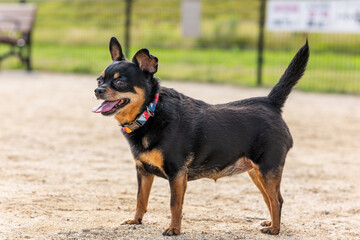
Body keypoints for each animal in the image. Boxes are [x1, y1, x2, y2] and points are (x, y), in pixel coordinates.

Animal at [93, 38, 310, 236]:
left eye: (120, 82)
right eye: (99, 80)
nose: (97, 90)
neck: (150, 112)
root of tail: (270, 102)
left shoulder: (177, 173)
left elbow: (175, 205)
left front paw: (174, 229)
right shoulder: (143, 172)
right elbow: (140, 199)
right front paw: (136, 220)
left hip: (267, 169)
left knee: (277, 200)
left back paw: (275, 229)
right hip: (256, 172)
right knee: (269, 198)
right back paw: (271, 223)